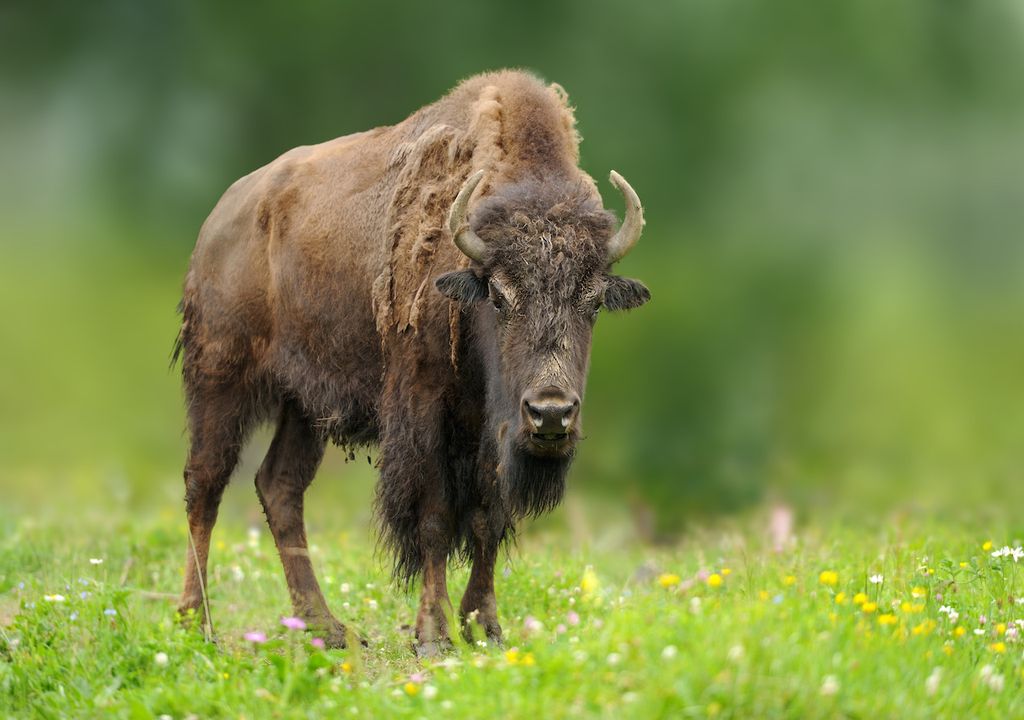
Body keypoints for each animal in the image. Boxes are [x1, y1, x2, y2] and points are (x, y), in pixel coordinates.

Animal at [172, 69, 643, 655]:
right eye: (499, 296)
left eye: (594, 301)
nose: (552, 413)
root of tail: (220, 219)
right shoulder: (425, 413)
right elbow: (434, 519)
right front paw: (433, 635)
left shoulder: (491, 430)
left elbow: (488, 518)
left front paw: (486, 626)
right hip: (221, 378)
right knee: (206, 483)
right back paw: (195, 623)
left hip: (304, 403)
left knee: (279, 486)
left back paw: (325, 628)